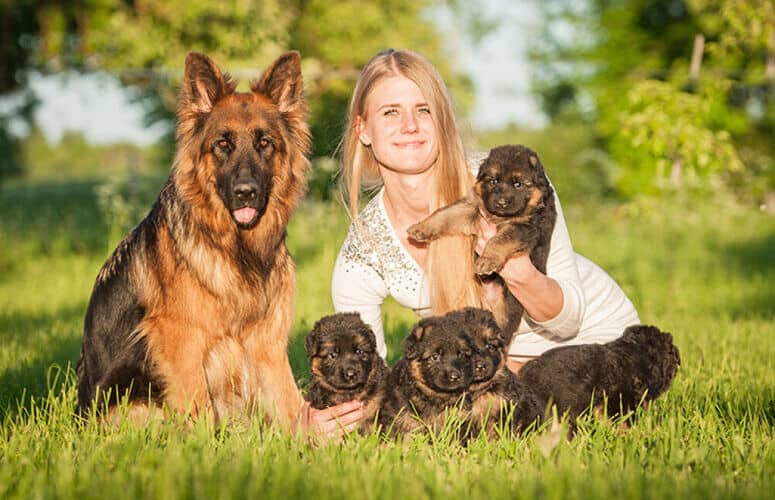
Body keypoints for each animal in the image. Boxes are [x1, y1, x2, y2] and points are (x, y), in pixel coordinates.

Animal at [406, 143, 556, 334]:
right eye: (493, 181)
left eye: (518, 184)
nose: (501, 202)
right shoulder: (471, 208)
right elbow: (445, 213)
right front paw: (421, 228)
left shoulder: (526, 228)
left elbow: (500, 239)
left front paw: (487, 260)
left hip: (506, 307)